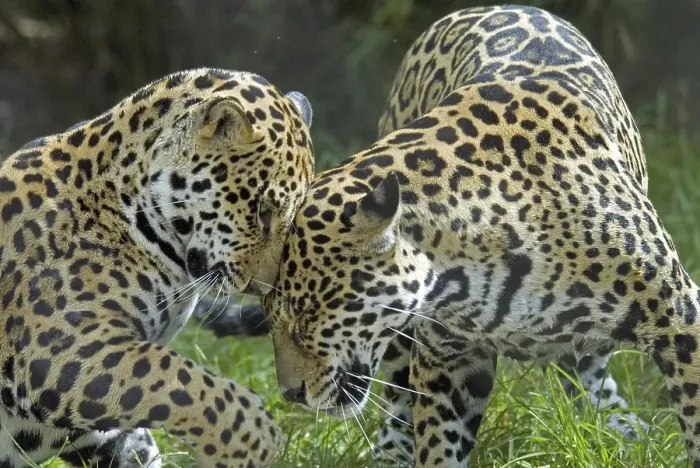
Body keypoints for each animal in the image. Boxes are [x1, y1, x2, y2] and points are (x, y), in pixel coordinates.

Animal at [0, 67, 314, 467]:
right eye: (262, 210)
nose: (265, 287)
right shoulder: (54, 346)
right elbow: (178, 379)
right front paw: (253, 438)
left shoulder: (104, 432)